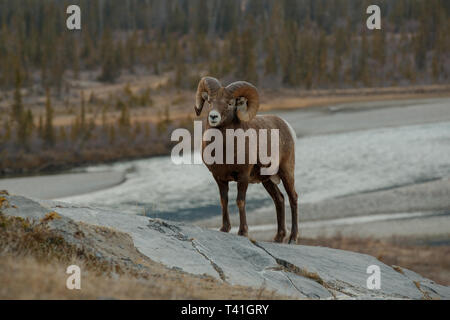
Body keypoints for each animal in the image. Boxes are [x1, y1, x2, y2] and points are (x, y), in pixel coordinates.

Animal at [194, 77, 298, 242]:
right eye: (209, 101)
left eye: (230, 103)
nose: (213, 117)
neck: (225, 150)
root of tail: (286, 126)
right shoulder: (219, 178)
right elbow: (224, 201)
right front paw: (224, 229)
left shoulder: (243, 176)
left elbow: (240, 201)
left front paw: (243, 232)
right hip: (267, 180)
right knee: (279, 199)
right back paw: (278, 237)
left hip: (286, 172)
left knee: (293, 198)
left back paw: (292, 238)